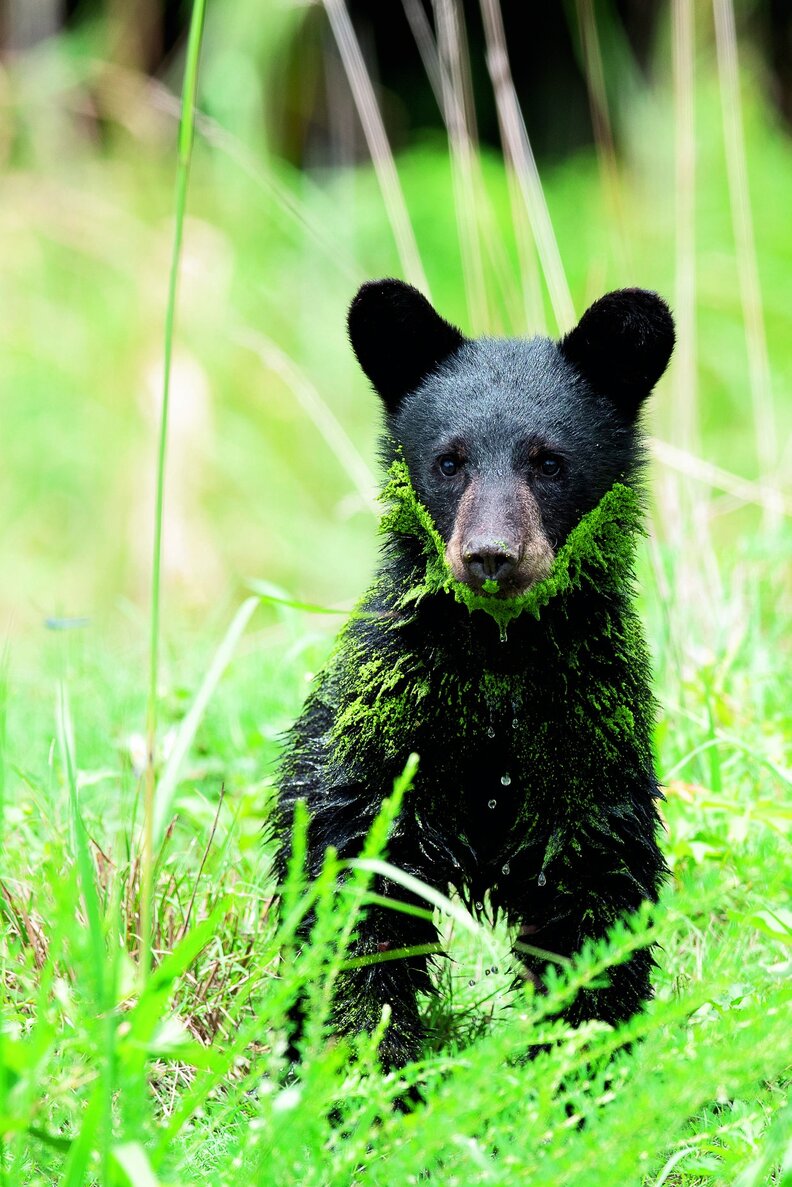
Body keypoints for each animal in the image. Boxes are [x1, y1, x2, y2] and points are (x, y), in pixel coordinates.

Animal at [272, 278, 675, 1072]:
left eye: (549, 461)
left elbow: (598, 893)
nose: (491, 555)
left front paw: (584, 1064)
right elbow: (355, 891)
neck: (498, 659)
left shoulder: (586, 736)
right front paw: (371, 1067)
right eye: (449, 460)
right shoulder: (389, 735)